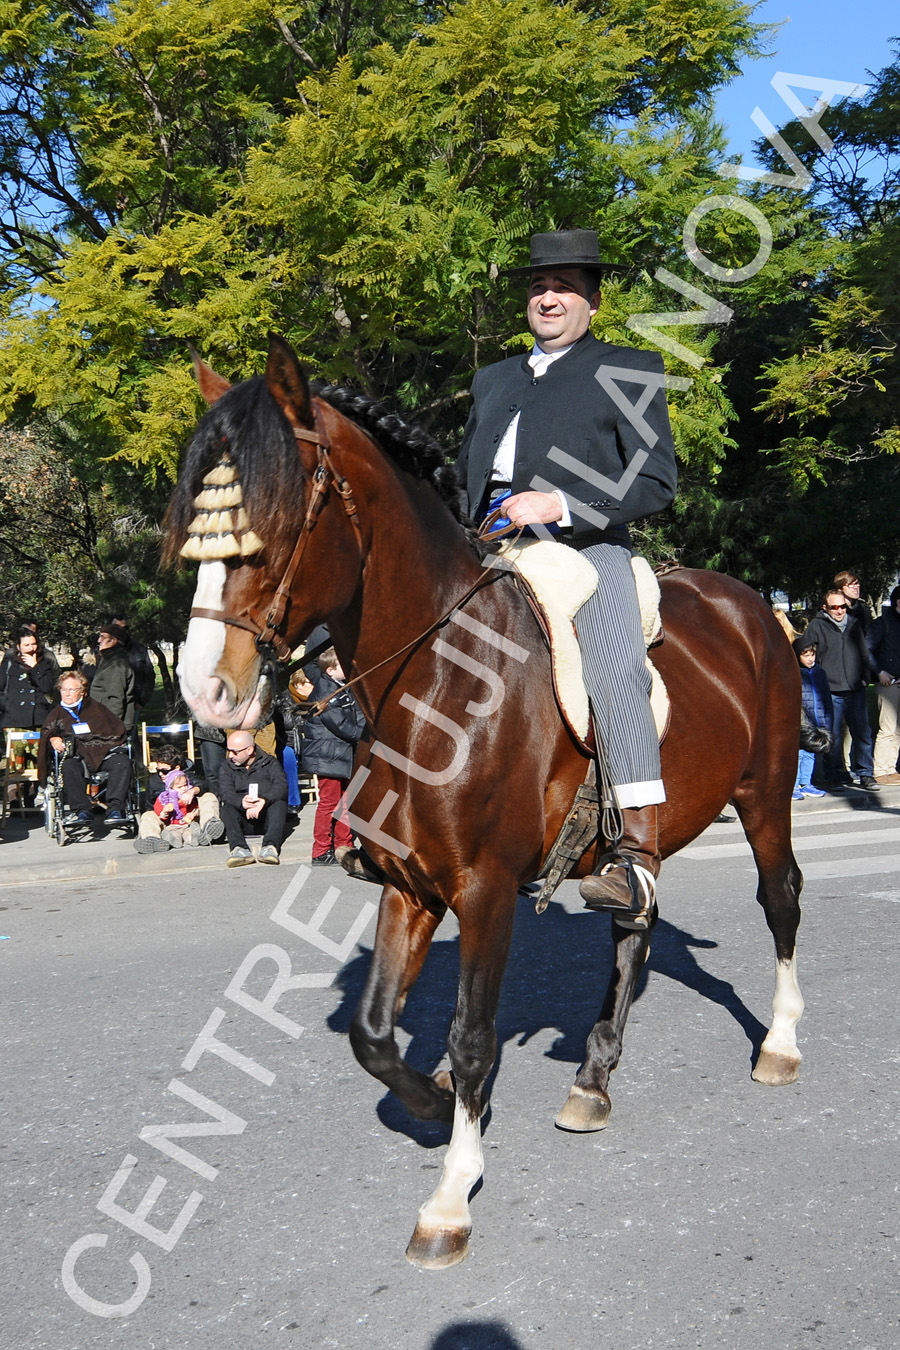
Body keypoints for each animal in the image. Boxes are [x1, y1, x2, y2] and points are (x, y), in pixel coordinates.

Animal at [165, 334, 804, 1263]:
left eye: (274, 514)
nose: (204, 692)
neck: (439, 677)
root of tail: (749, 603)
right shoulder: (410, 886)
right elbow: (373, 1033)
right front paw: (436, 1106)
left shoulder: (486, 887)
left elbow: (471, 1037)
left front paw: (449, 1199)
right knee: (634, 921)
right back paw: (593, 1076)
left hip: (766, 793)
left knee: (780, 897)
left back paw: (781, 1042)